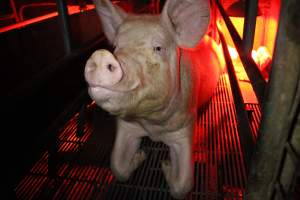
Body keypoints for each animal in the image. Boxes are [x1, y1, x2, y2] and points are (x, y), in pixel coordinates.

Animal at [84, 0, 223, 198]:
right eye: (116, 47)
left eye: (158, 48)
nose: (100, 55)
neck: (152, 126)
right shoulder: (127, 125)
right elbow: (117, 166)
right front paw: (141, 154)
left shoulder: (186, 124)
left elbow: (184, 184)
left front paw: (166, 164)